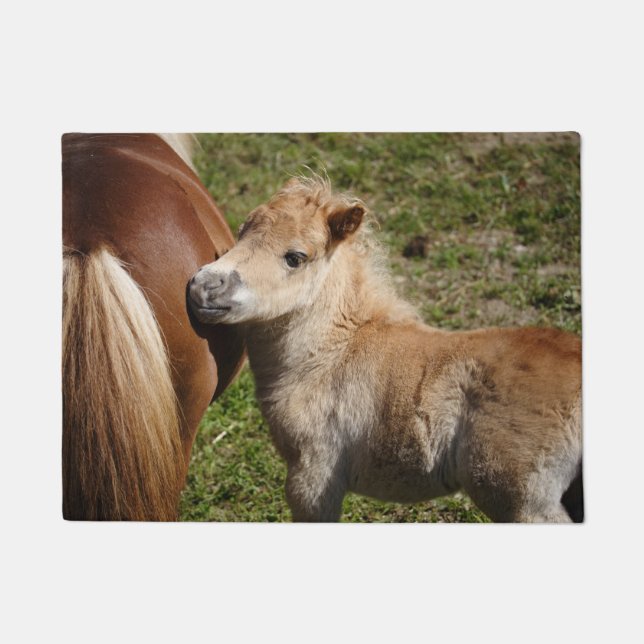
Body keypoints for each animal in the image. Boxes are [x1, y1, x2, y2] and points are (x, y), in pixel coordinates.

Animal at [187, 175, 583, 523]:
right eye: (242, 231)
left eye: (295, 257)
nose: (203, 287)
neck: (329, 357)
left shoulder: (314, 474)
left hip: (523, 500)